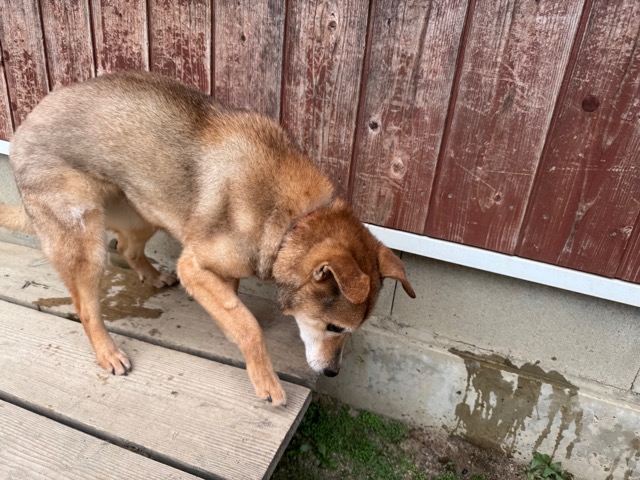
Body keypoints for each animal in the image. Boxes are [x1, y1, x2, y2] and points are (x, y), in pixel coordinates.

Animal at [0, 72, 415, 406]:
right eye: (334, 328)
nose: (331, 373)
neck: (294, 222)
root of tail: (22, 126)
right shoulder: (194, 265)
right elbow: (247, 326)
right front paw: (265, 380)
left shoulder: (222, 268)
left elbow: (233, 306)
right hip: (86, 243)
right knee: (87, 307)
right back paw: (108, 353)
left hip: (144, 211)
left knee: (129, 248)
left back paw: (153, 276)